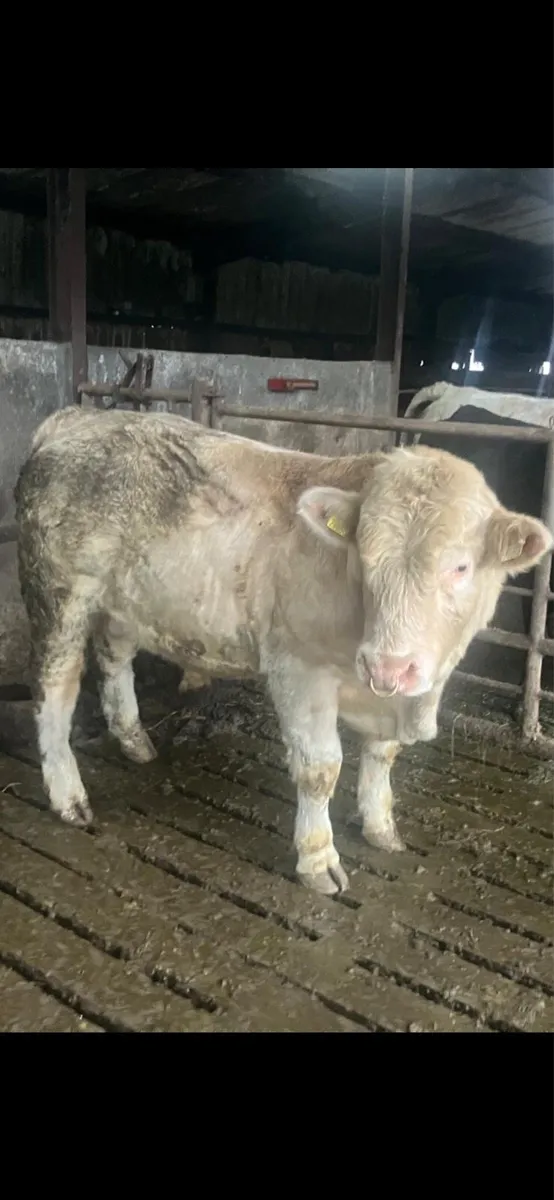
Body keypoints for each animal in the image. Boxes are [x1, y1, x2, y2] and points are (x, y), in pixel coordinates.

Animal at [15, 405, 552, 896]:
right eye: (364, 561)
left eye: (460, 567)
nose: (388, 666)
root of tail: (77, 418)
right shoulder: (298, 667)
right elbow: (320, 769)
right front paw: (318, 859)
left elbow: (383, 754)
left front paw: (381, 827)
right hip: (59, 596)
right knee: (53, 692)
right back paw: (68, 796)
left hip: (123, 601)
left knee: (114, 658)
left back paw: (135, 741)